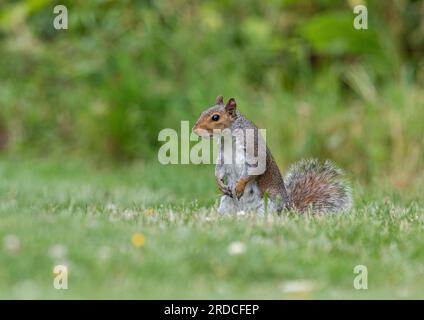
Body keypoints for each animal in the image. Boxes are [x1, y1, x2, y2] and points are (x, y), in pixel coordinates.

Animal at [192, 95, 352, 215]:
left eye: (215, 117)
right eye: (202, 113)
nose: (194, 129)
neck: (229, 138)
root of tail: (289, 211)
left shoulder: (254, 150)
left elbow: (255, 169)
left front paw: (240, 186)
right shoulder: (223, 156)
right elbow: (219, 169)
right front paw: (220, 183)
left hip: (268, 206)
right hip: (226, 204)